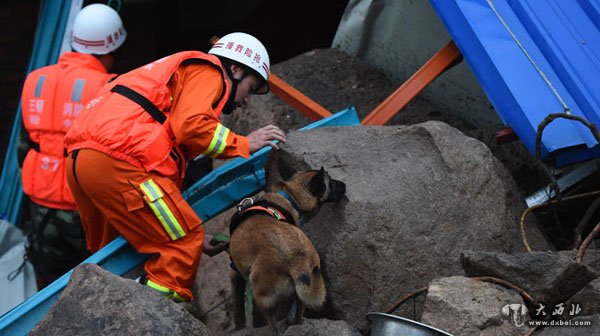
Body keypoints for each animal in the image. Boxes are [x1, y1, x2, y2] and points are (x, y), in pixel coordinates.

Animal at [227, 167, 344, 334]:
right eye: (331, 182)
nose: (345, 185)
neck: (290, 196)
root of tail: (296, 261)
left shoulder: (235, 274)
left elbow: (238, 311)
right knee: (299, 314)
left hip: (262, 299)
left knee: (274, 326)